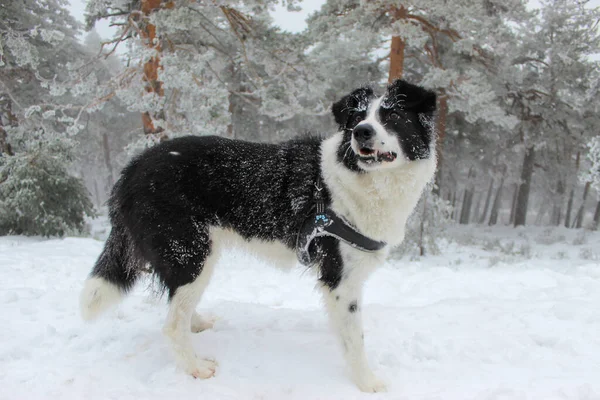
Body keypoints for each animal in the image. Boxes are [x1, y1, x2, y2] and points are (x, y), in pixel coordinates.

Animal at [79, 79, 436, 392]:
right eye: (358, 118)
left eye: (392, 116)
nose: (362, 132)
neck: (360, 178)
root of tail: (132, 170)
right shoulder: (341, 282)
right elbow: (355, 341)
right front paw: (367, 383)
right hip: (192, 255)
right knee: (171, 324)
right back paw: (195, 367)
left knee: (178, 307)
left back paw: (196, 322)